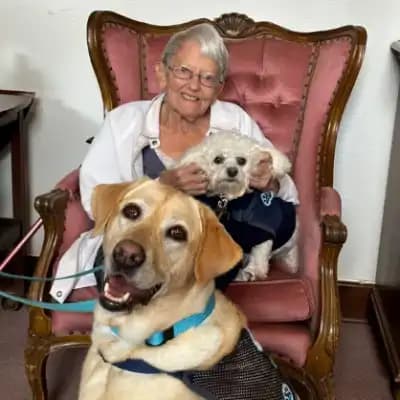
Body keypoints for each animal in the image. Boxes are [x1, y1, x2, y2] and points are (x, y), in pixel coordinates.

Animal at [177, 130, 298, 280]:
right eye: (218, 159)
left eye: (242, 161)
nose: (232, 171)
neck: (229, 199)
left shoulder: (264, 223)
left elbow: (261, 248)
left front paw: (256, 270)